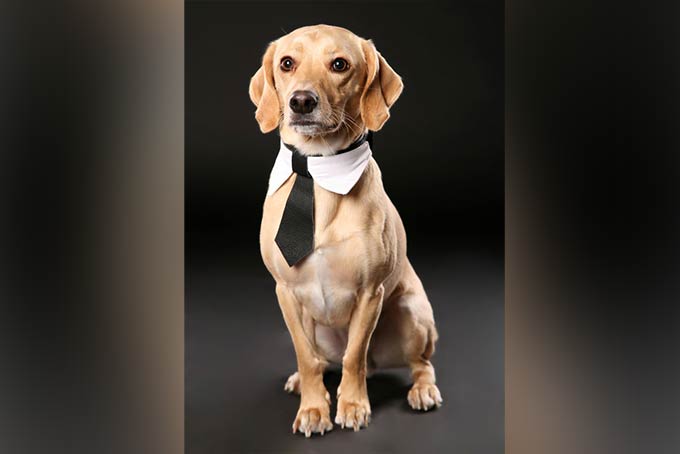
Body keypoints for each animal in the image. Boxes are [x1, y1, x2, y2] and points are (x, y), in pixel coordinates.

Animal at [250, 24, 440, 436]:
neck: (317, 173)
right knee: (322, 362)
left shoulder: (370, 293)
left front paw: (352, 405)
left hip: (410, 314)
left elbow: (355, 357)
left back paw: (422, 390)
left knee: (418, 363)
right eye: (286, 63)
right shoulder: (286, 292)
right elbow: (305, 358)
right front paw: (313, 407)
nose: (301, 101)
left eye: (340, 64)